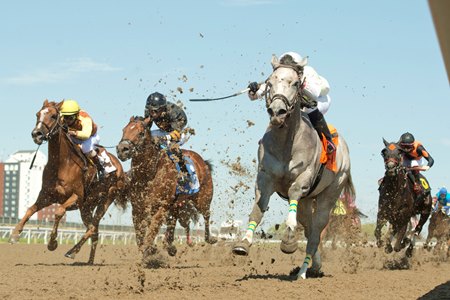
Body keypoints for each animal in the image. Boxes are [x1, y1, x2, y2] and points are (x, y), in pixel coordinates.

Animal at [9, 99, 125, 264]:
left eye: (53, 115)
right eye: (37, 114)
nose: (36, 134)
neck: (62, 164)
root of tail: (120, 168)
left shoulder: (77, 197)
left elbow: (58, 212)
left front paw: (52, 243)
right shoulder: (47, 196)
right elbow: (30, 209)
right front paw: (15, 234)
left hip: (105, 200)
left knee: (92, 228)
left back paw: (72, 251)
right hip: (86, 207)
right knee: (94, 231)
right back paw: (89, 261)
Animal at [115, 116, 215, 262]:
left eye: (141, 133)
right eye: (123, 130)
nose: (122, 149)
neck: (149, 174)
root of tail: (203, 162)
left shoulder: (161, 207)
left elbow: (151, 232)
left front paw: (149, 252)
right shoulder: (137, 208)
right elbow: (139, 236)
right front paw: (151, 250)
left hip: (203, 198)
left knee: (206, 215)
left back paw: (210, 238)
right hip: (176, 205)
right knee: (173, 221)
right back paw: (170, 246)